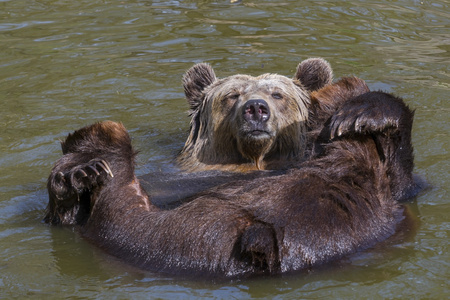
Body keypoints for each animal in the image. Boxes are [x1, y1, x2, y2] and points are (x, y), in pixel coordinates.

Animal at [44, 71, 420, 278]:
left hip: (163, 233)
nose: (256, 108)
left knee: (118, 200)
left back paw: (93, 154)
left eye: (278, 94)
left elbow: (402, 177)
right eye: (232, 95)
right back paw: (75, 178)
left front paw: (359, 113)